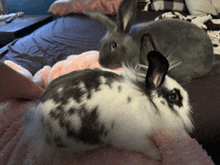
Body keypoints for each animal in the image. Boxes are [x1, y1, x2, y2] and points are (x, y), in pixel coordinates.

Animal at [19, 51, 193, 164]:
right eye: (174, 97)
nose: (188, 106)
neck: (146, 100)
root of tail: (39, 118)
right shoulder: (132, 138)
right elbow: (147, 146)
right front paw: (158, 156)